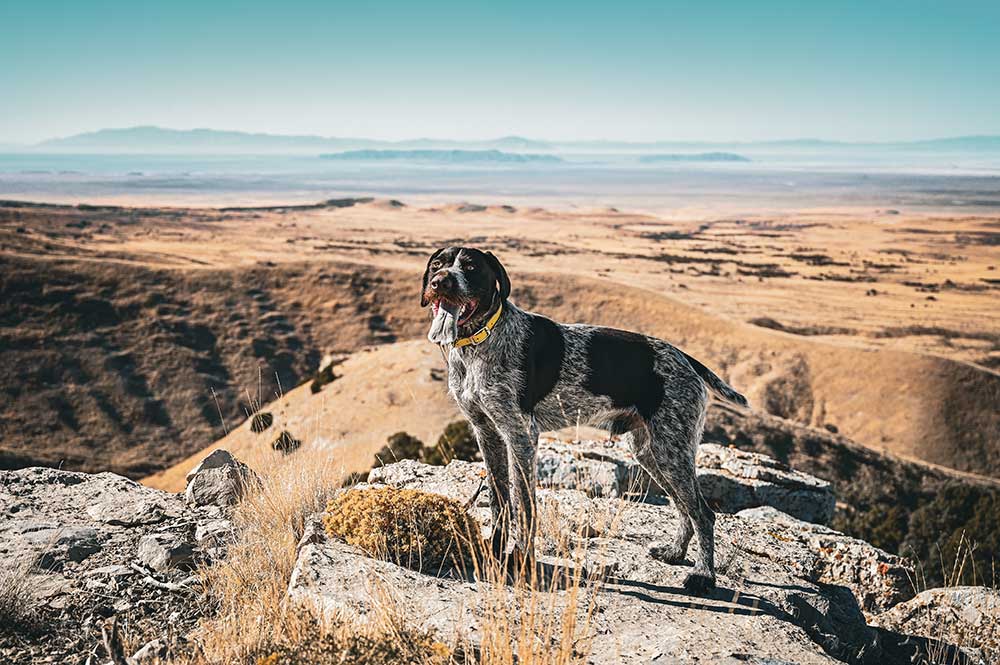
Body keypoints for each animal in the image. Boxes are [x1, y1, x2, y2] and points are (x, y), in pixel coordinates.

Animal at [418, 246, 748, 588]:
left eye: (470, 267)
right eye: (437, 265)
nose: (441, 282)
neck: (479, 342)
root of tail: (686, 359)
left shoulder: (521, 435)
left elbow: (524, 505)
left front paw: (521, 560)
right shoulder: (488, 433)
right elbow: (500, 500)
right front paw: (494, 552)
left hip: (671, 450)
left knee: (702, 513)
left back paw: (703, 574)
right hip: (651, 451)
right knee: (684, 507)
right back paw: (674, 553)